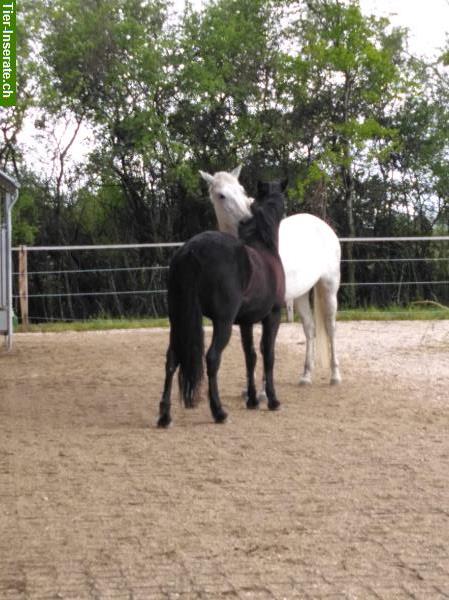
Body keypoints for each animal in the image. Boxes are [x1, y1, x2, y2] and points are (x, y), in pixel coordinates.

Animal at [158, 180, 284, 428]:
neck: (264, 247)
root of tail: (191, 250)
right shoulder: (272, 316)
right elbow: (268, 354)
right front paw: (272, 400)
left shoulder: (245, 321)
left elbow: (250, 356)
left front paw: (253, 400)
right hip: (222, 323)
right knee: (212, 358)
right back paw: (219, 412)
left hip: (178, 321)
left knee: (172, 358)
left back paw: (165, 416)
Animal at [199, 166, 340, 386]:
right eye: (221, 195)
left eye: (241, 189)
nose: (246, 219)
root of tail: (322, 225)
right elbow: (251, 348)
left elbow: (265, 346)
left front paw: (264, 390)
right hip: (300, 294)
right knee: (309, 328)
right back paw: (306, 375)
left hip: (329, 287)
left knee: (330, 327)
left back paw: (335, 375)